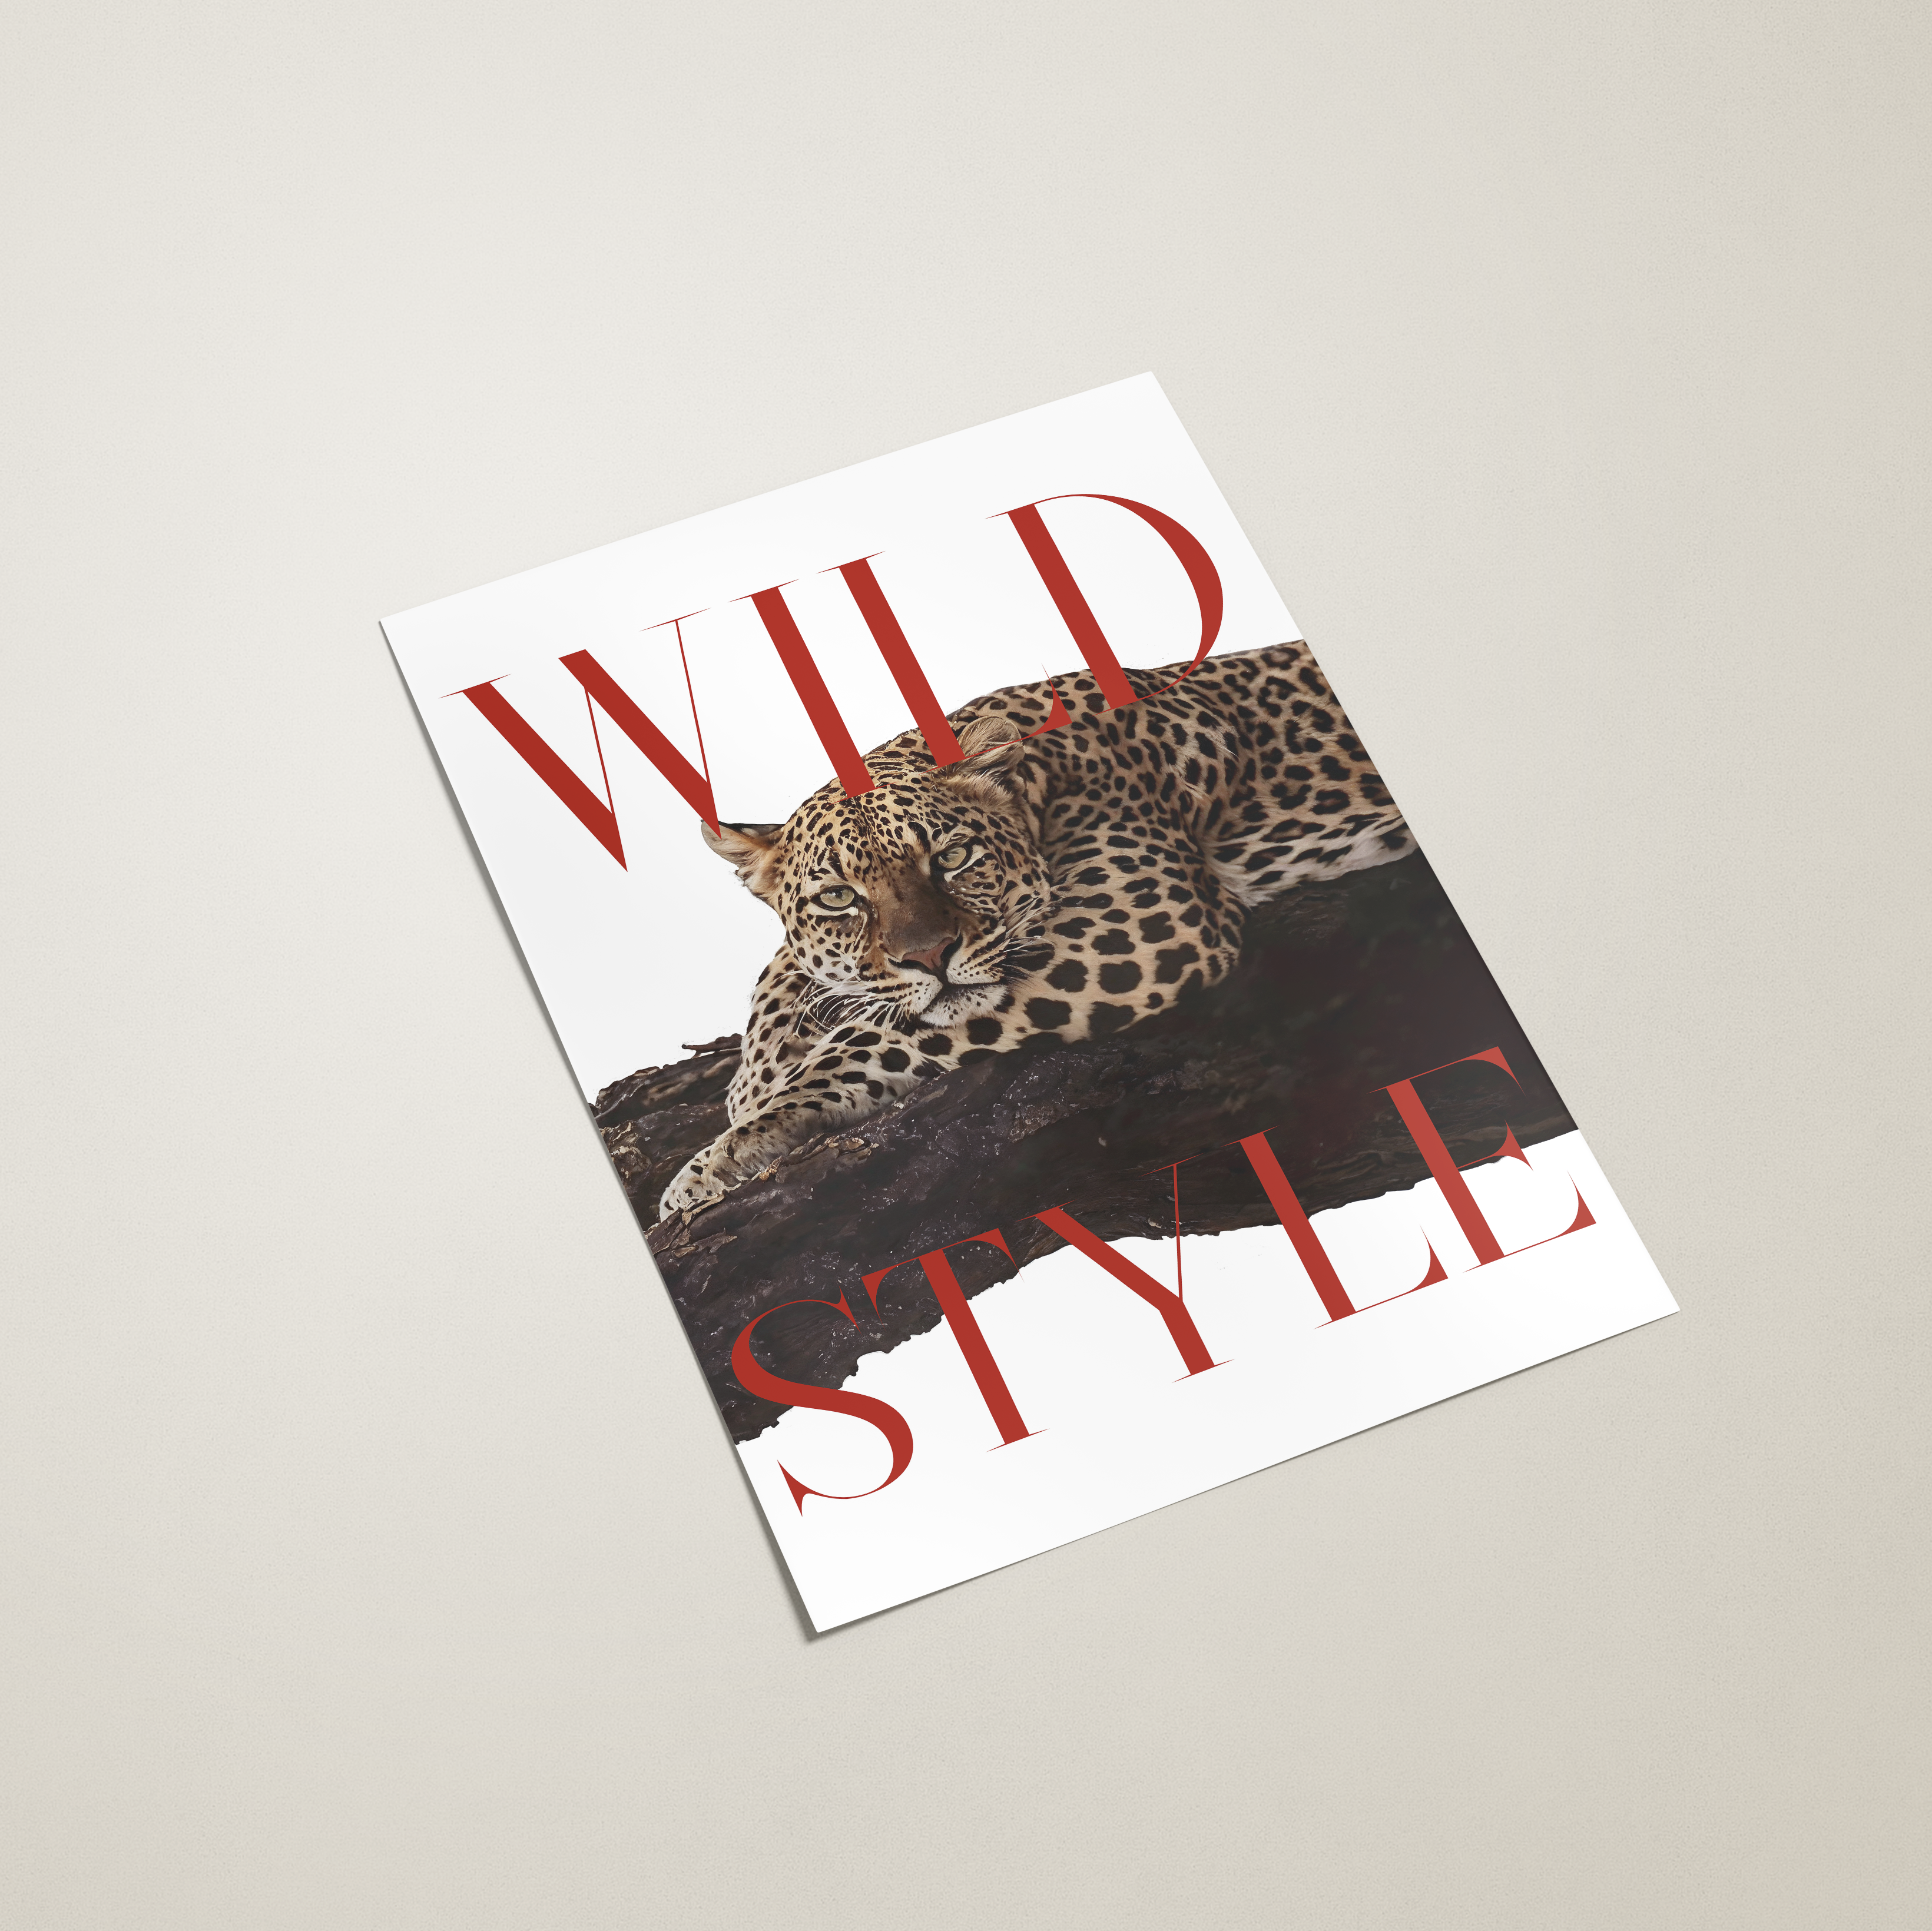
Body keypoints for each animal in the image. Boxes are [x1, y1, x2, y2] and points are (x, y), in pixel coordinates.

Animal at [657, 638, 1411, 1220]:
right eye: (840, 898)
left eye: (951, 858)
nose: (930, 955)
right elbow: (786, 968)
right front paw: (751, 1080)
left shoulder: (1139, 917)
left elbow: (879, 1031)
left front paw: (730, 1148)